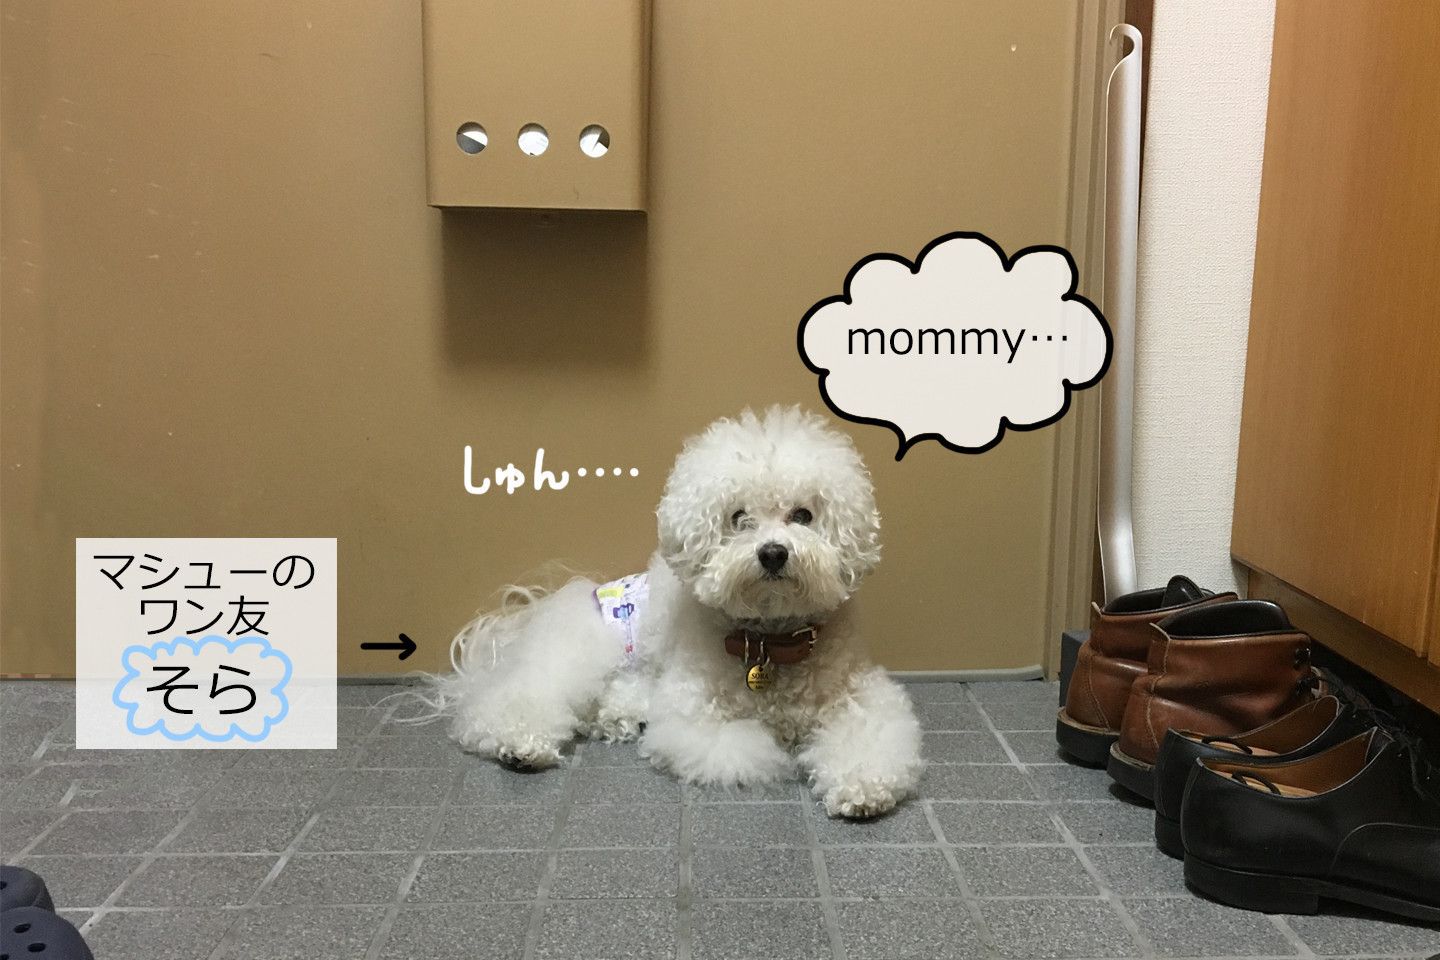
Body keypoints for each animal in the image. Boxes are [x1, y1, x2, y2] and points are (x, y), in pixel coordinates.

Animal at [424, 406, 924, 818]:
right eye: (738, 518)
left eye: (803, 515)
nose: (773, 553)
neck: (770, 643)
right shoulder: (692, 719)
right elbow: (748, 745)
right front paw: (783, 749)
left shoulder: (865, 699)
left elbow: (871, 741)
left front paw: (861, 787)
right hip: (578, 655)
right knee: (514, 699)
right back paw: (521, 745)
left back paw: (621, 714)